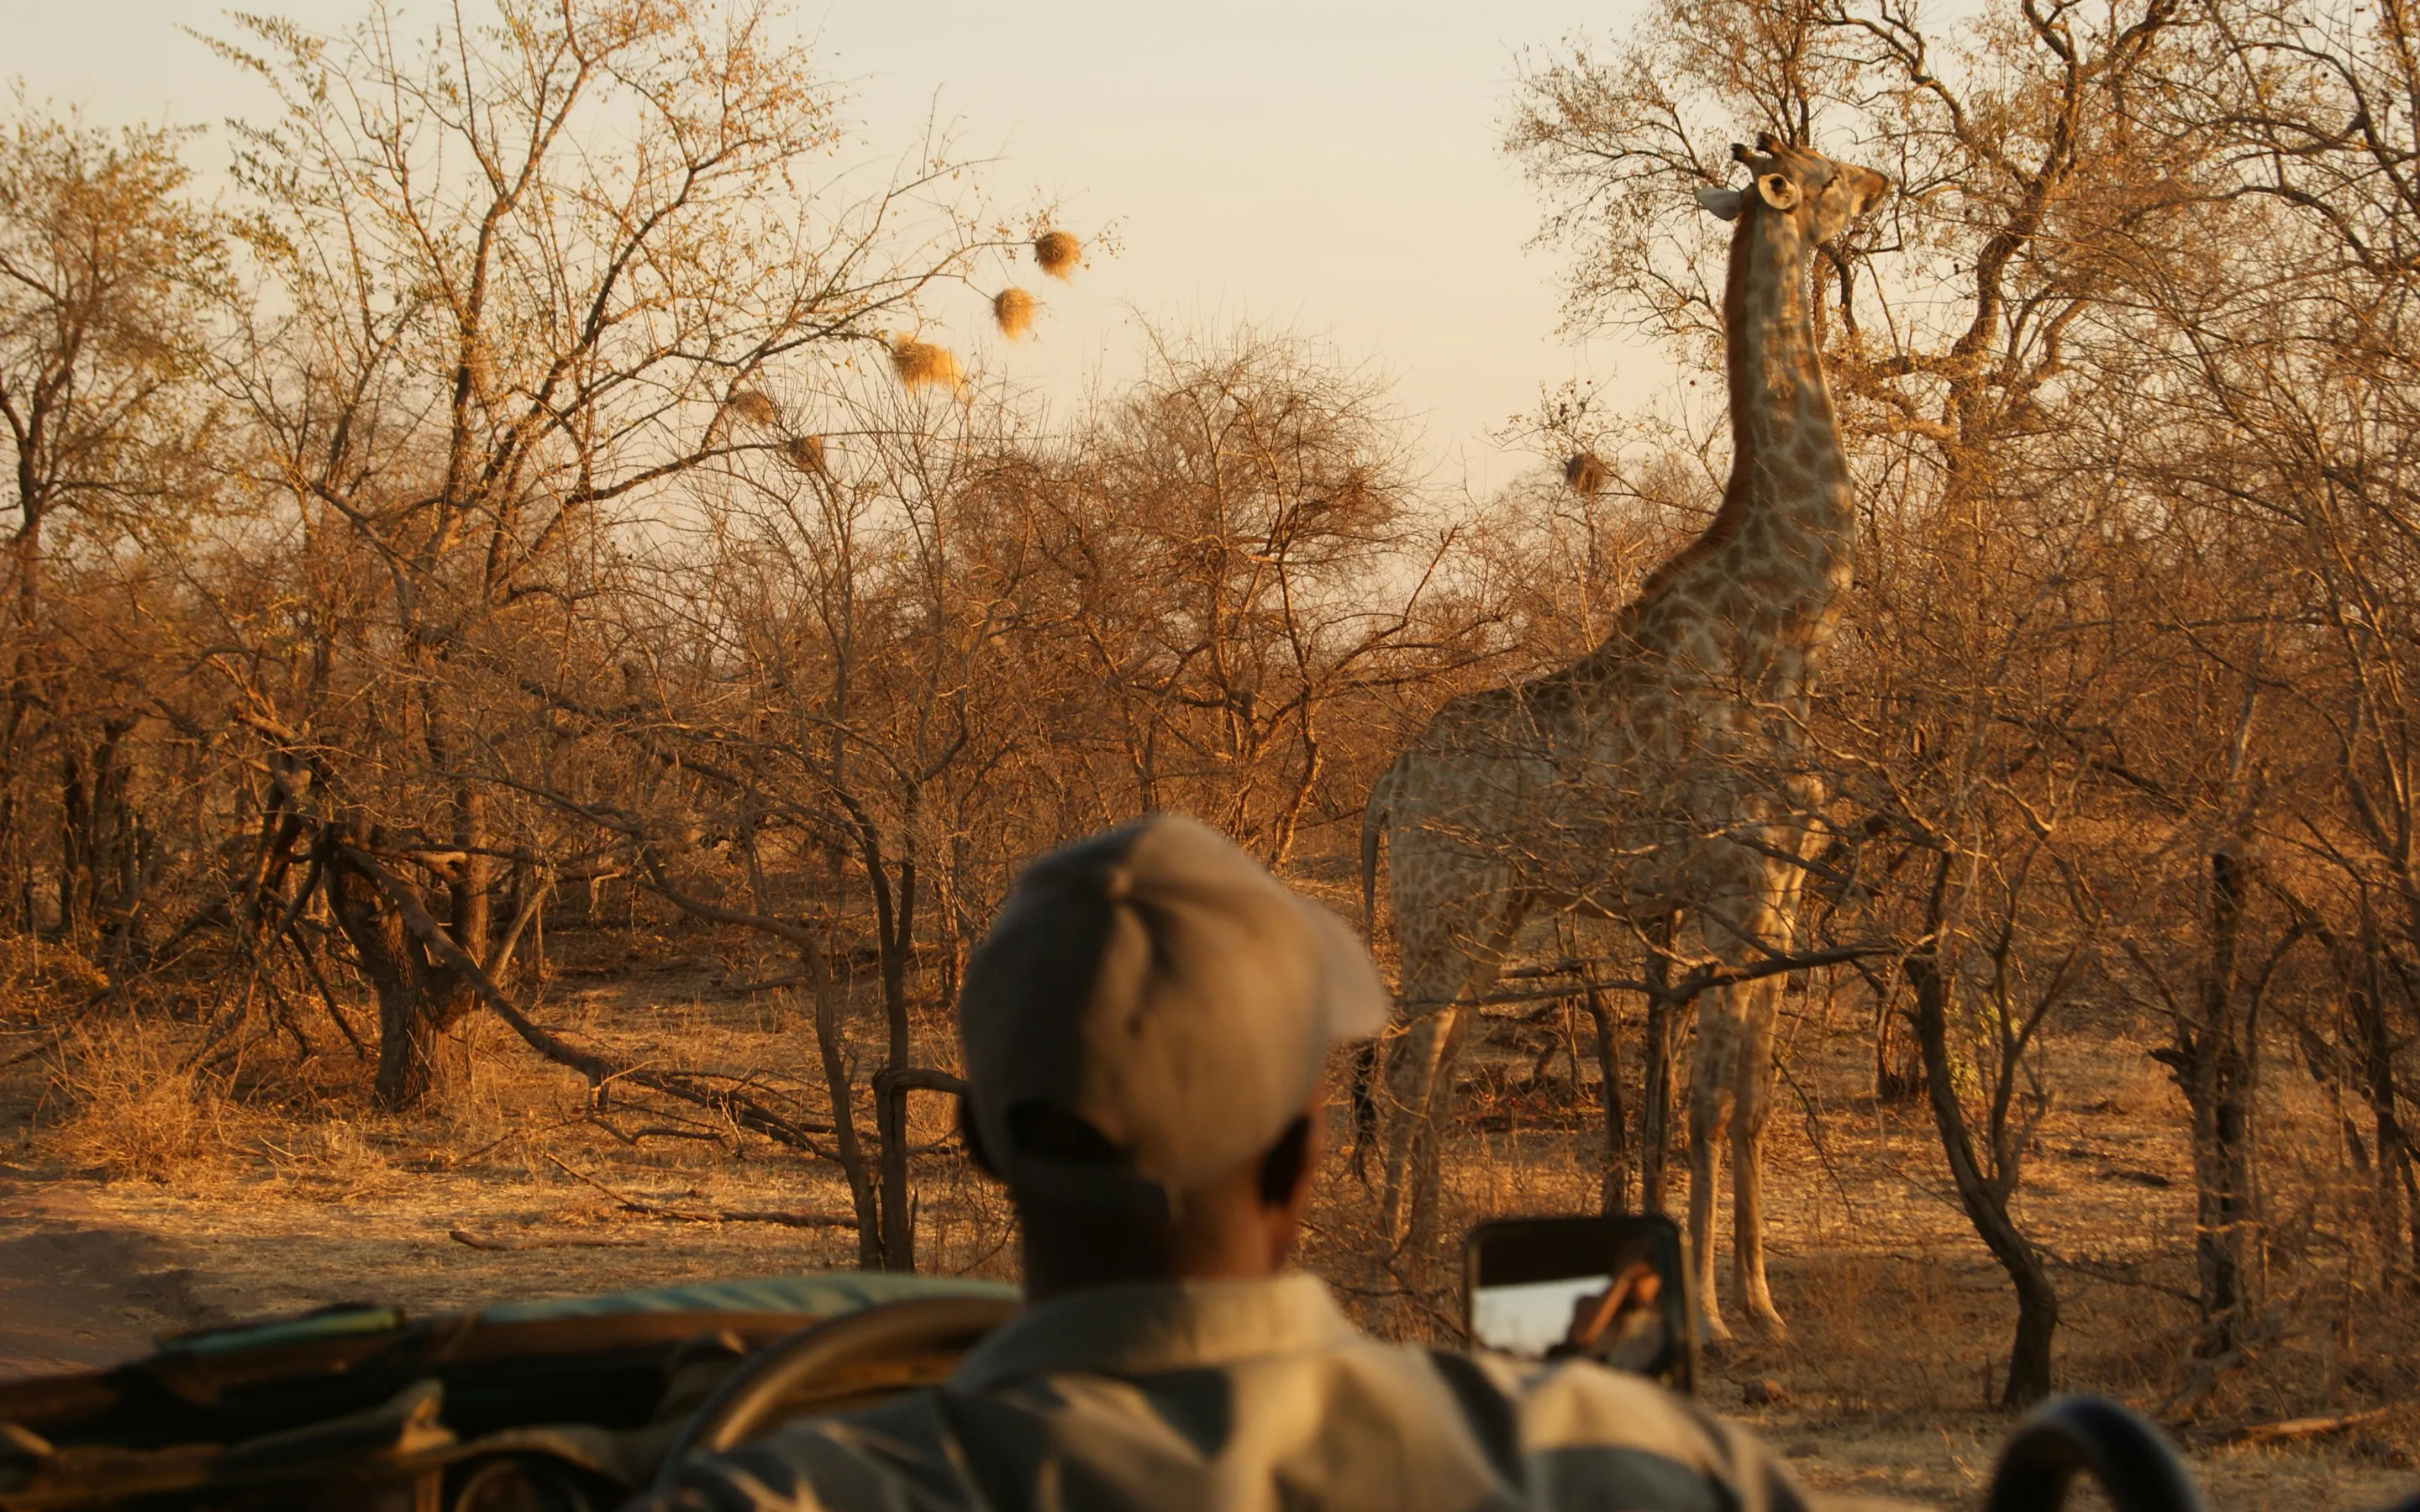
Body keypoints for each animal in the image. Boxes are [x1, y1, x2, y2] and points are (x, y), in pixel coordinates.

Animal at [1361, 135, 1889, 1340]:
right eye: (1826, 172)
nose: (1885, 183)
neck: (1784, 632)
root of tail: (1389, 781)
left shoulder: (1780, 894)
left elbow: (1746, 1101)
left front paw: (1761, 1299)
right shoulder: (1730, 890)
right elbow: (1704, 1103)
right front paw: (1711, 1311)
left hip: (1498, 914)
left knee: (1441, 1069)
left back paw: (1430, 1258)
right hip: (1445, 906)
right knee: (1410, 1072)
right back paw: (1395, 1270)